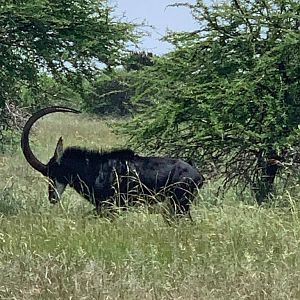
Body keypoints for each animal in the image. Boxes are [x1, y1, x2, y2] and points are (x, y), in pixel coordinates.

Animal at [20, 106, 204, 217]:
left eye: (53, 172)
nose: (52, 197)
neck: (93, 168)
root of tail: (198, 175)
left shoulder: (109, 207)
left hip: (179, 206)